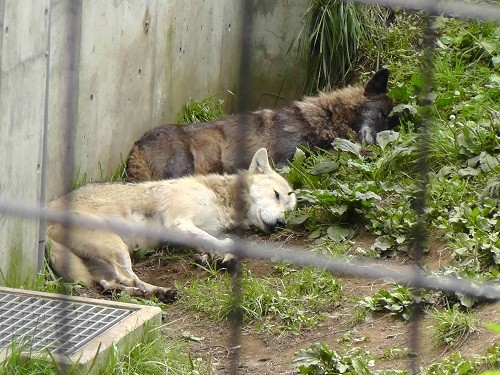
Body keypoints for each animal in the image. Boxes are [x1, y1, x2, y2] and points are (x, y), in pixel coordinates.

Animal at [46, 149, 296, 302]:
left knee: (111, 284)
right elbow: (218, 241)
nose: (280, 224)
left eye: (288, 209)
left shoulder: (192, 232)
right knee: (126, 277)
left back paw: (160, 293)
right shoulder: (179, 223)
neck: (221, 199)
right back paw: (155, 292)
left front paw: (216, 259)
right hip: (116, 248)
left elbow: (209, 244)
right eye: (276, 195)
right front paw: (225, 255)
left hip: (103, 261)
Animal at [125, 70, 394, 184]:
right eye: (382, 113)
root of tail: (136, 144)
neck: (322, 119)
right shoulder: (284, 161)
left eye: (393, 127)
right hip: (183, 168)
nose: (376, 144)